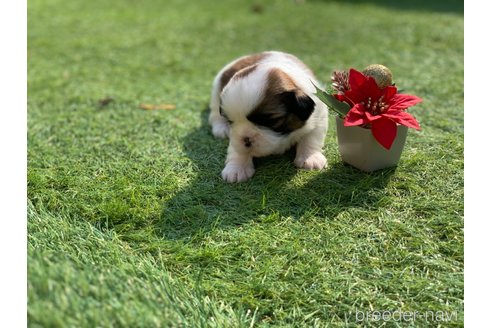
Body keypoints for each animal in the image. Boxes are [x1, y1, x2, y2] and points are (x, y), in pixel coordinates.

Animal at [208, 51, 326, 182]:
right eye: (230, 121)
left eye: (270, 120)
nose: (246, 139)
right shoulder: (235, 137)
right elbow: (236, 147)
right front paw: (237, 168)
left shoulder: (319, 115)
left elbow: (311, 138)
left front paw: (310, 158)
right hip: (216, 93)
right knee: (215, 114)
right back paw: (221, 128)